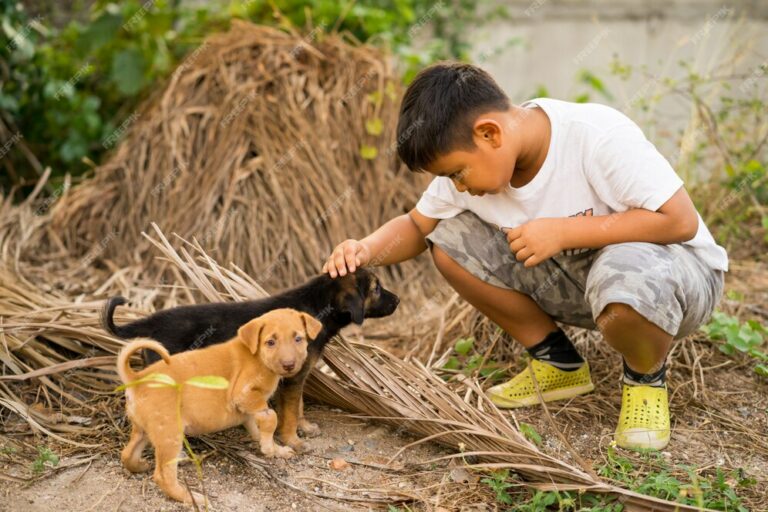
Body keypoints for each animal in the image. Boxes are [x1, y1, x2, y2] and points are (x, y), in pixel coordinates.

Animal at [103, 270, 400, 450]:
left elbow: (298, 407)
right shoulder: (292, 376)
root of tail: (152, 321)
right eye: (377, 288)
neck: (318, 307)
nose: (398, 300)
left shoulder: (297, 376)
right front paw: (293, 441)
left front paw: (305, 427)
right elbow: (289, 414)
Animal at [117, 306, 320, 502]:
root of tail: (137, 379)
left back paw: (139, 465)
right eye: (270, 342)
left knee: (127, 454)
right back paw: (190, 497)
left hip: (144, 430)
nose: (289, 365)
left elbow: (258, 424)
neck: (257, 357)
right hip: (169, 434)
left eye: (298, 339)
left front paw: (275, 448)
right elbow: (271, 416)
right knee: (162, 476)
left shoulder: (248, 407)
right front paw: (269, 447)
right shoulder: (242, 394)